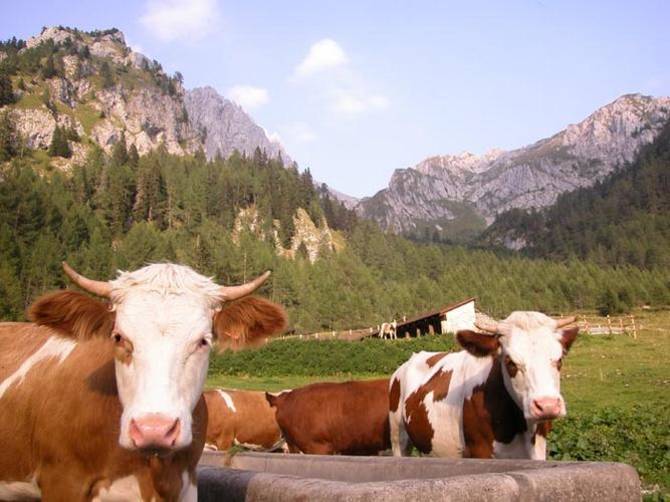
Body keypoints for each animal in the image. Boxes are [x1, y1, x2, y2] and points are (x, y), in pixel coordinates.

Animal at [392, 312, 580, 460]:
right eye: (510, 362)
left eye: (559, 360)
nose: (547, 405)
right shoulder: (479, 450)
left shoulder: (539, 449)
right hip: (398, 437)